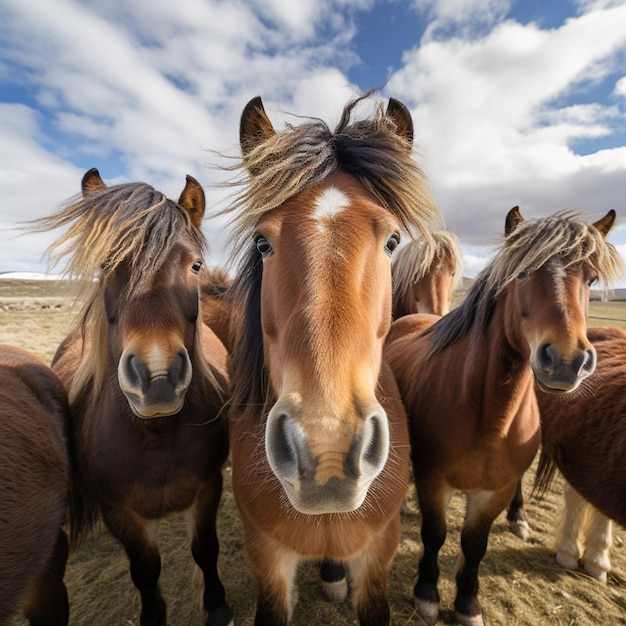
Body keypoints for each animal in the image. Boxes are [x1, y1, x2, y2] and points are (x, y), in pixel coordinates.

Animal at [32, 169, 232, 624]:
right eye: (105, 265)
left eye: (195, 265)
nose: (157, 376)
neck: (155, 438)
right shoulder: (118, 511)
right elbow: (145, 568)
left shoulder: (208, 488)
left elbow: (206, 548)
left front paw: (216, 605)